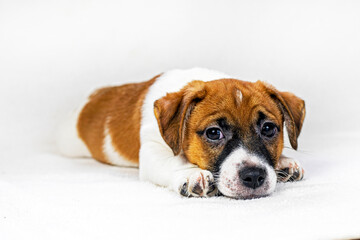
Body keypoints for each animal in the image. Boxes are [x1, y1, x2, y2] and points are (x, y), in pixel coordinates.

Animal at [57, 67, 306, 199]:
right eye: (214, 133)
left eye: (268, 128)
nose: (254, 176)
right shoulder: (152, 151)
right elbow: (175, 161)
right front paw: (191, 174)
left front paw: (284, 162)